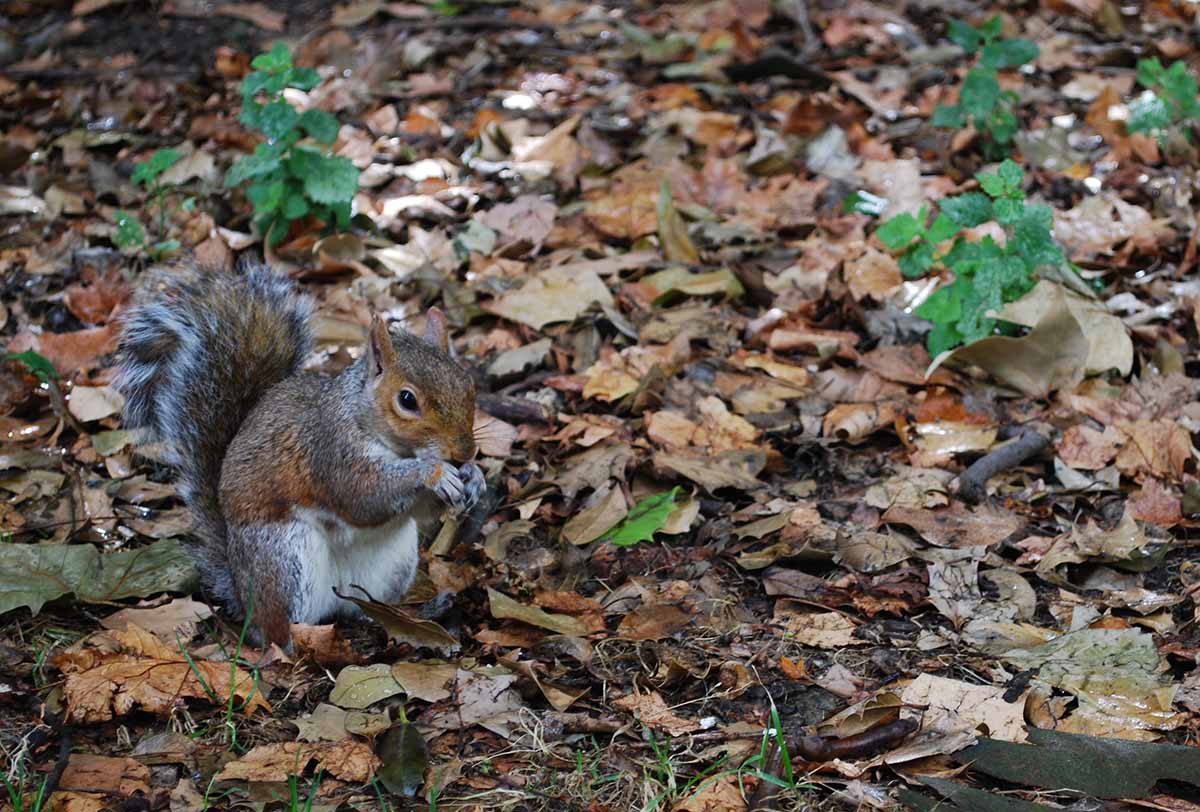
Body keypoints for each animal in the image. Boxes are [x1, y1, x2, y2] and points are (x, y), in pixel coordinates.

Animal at [115, 261, 484, 649]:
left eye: (469, 385)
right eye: (407, 399)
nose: (464, 452)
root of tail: (243, 595)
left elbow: (420, 510)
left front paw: (474, 478)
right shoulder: (328, 450)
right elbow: (363, 496)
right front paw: (433, 472)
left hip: (394, 563)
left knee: (367, 608)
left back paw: (404, 617)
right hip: (283, 557)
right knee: (277, 629)